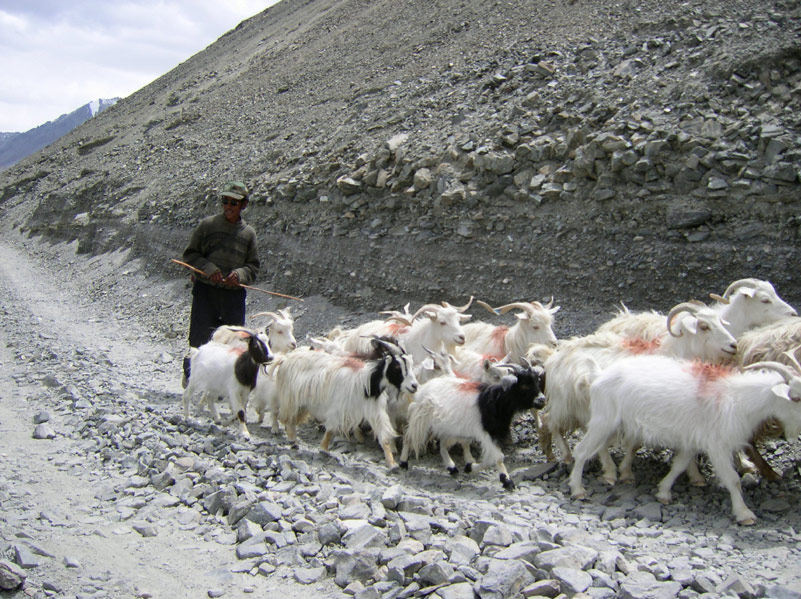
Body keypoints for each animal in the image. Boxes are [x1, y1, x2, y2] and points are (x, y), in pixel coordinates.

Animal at [268, 338, 418, 468]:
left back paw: (293, 441)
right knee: (289, 419)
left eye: (410, 364)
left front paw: (392, 463)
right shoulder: (339, 408)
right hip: (291, 397)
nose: (414, 386)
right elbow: (331, 429)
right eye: (397, 366)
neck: (366, 382)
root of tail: (285, 359)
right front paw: (323, 448)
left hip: (301, 402)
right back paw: (292, 441)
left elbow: (384, 438)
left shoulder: (374, 411)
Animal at [564, 352, 800, 524]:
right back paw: (578, 489)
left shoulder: (692, 440)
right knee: (582, 451)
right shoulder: (717, 445)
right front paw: (744, 514)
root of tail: (598, 375)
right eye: (796, 397)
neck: (738, 398)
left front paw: (663, 492)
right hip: (604, 419)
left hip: (613, 423)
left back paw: (615, 475)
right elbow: (733, 479)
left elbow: (679, 465)